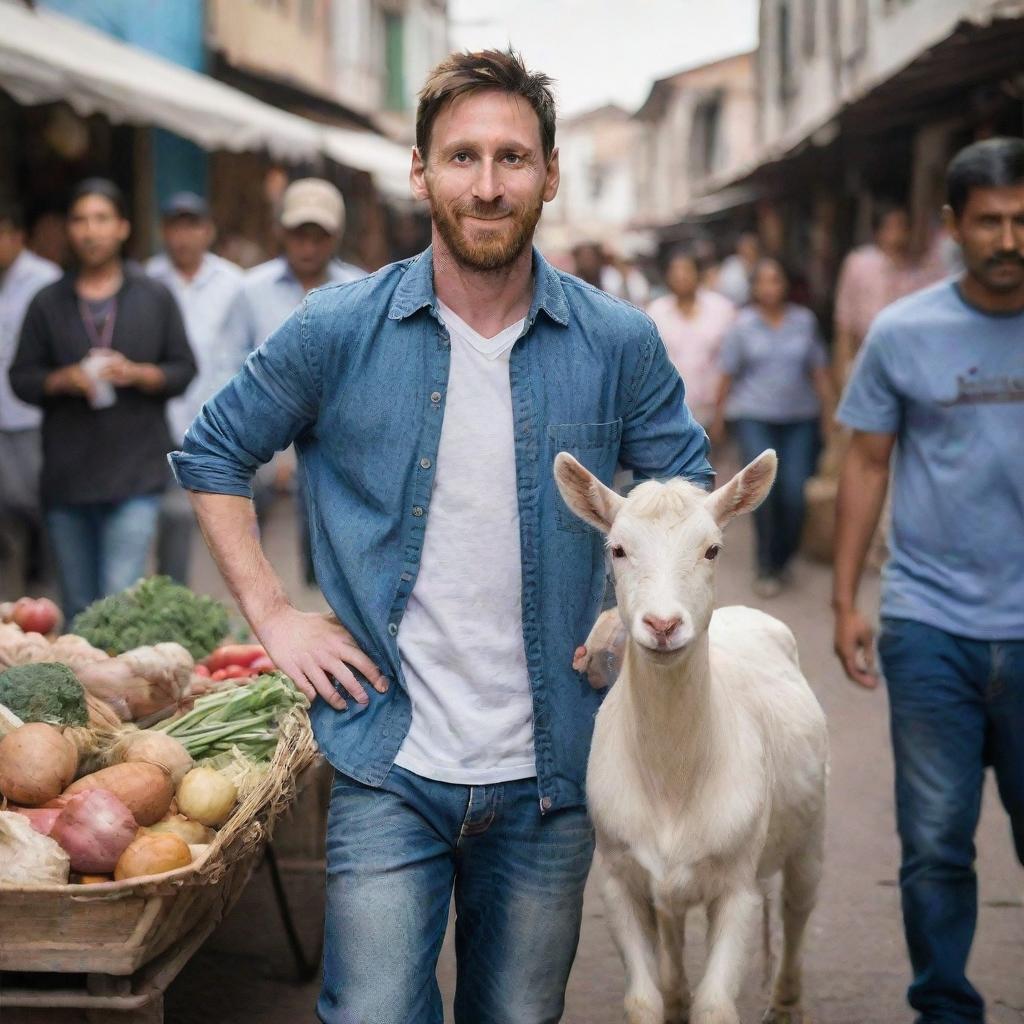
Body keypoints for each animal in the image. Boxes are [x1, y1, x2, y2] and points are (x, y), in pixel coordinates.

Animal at [557, 454, 827, 1024]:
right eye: (617, 548)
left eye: (712, 549)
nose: (663, 624)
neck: (674, 782)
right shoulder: (617, 875)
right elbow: (642, 999)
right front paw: (667, 998)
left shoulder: (739, 884)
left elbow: (717, 1005)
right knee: (674, 926)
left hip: (811, 830)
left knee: (797, 908)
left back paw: (785, 1003)